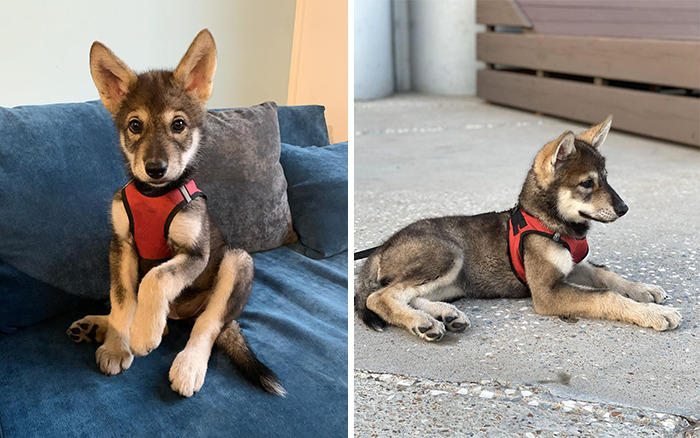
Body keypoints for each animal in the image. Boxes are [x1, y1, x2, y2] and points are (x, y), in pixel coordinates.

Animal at [66, 29, 284, 397]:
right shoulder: (121, 245)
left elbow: (156, 278)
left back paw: (188, 364)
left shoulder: (195, 252)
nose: (156, 168)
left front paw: (142, 335)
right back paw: (98, 326)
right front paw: (117, 344)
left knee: (207, 324)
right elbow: (123, 298)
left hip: (237, 261)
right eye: (134, 125)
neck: (154, 195)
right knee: (152, 317)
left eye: (178, 124)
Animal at [355, 117, 681, 341]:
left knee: (404, 295)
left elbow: (608, 276)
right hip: (447, 255)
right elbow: (605, 296)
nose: (624, 208)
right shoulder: (547, 292)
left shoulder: (574, 265)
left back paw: (444, 315)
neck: (550, 223)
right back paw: (422, 322)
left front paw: (644, 289)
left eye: (606, 177)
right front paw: (654, 315)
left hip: (455, 281)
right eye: (587, 183)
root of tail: (383, 247)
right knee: (379, 297)